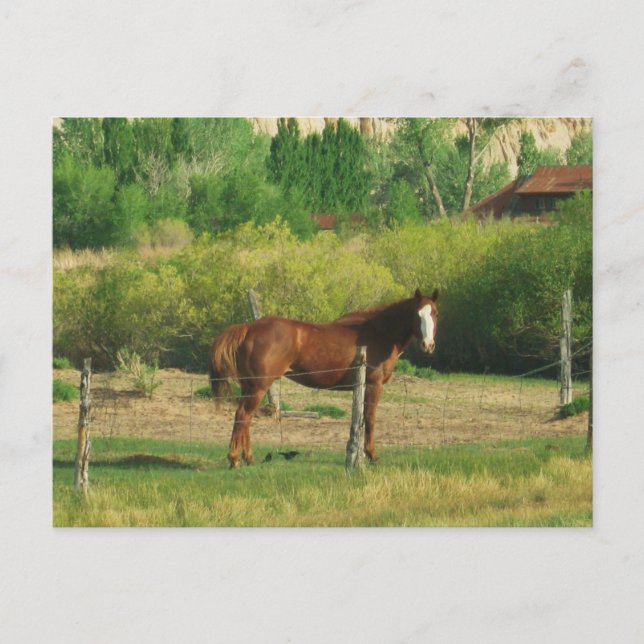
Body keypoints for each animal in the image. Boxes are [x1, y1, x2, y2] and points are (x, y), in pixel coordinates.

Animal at [209, 288, 439, 468]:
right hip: (258, 386)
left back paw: (248, 458)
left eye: (435, 313)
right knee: (242, 415)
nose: (428, 345)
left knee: (246, 419)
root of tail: (248, 328)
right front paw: (372, 455)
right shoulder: (373, 385)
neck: (379, 332)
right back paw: (234, 459)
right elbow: (370, 419)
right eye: (417, 314)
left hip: (251, 387)